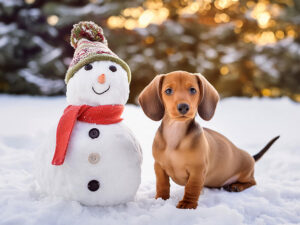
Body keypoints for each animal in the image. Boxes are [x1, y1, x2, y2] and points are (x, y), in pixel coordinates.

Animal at [138, 71, 278, 209]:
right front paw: (161, 199)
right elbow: (162, 183)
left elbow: (192, 187)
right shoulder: (159, 166)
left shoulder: (198, 169)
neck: (175, 135)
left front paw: (188, 204)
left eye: (193, 90)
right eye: (168, 91)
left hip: (246, 173)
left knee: (252, 181)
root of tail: (250, 157)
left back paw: (236, 186)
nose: (183, 107)